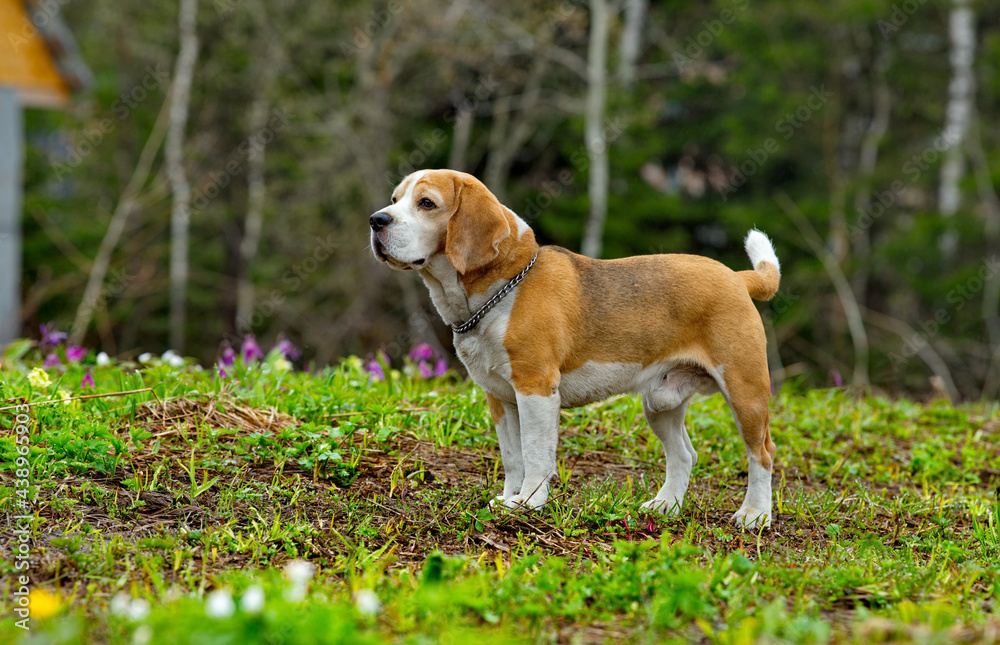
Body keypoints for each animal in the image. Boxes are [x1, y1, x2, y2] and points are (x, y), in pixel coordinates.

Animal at [370, 169, 780, 524]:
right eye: (394, 200)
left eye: (426, 203)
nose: (376, 220)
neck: (502, 288)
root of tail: (737, 277)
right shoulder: (500, 398)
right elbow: (512, 456)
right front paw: (509, 498)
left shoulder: (535, 389)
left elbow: (535, 453)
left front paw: (530, 502)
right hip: (660, 401)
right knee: (684, 455)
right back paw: (666, 505)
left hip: (745, 392)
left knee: (762, 454)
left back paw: (754, 515)